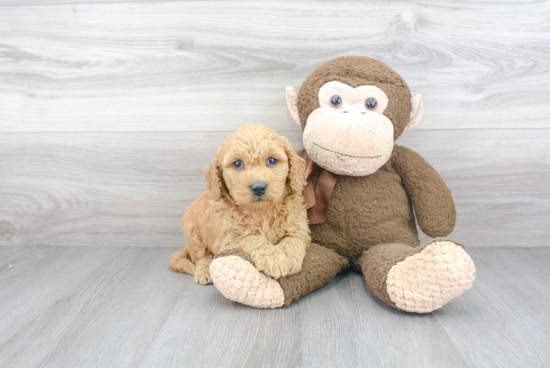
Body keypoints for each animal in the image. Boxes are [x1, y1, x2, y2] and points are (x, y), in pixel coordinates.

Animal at [170, 123, 310, 284]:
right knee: (201, 256)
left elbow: (293, 241)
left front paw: (289, 260)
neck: (263, 213)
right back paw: (204, 270)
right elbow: (252, 239)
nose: (258, 187)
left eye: (272, 160)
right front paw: (274, 259)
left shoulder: (299, 228)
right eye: (237, 164)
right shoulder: (230, 240)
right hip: (192, 233)